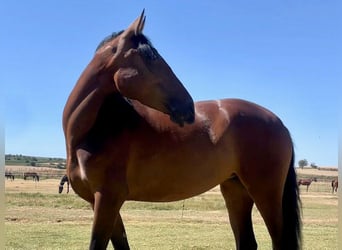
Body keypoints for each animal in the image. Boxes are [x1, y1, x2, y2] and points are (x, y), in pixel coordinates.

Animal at [62, 10, 300, 250]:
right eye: (152, 58)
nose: (188, 107)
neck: (93, 131)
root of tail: (279, 123)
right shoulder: (100, 202)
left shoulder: (108, 199)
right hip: (236, 191)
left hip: (266, 193)